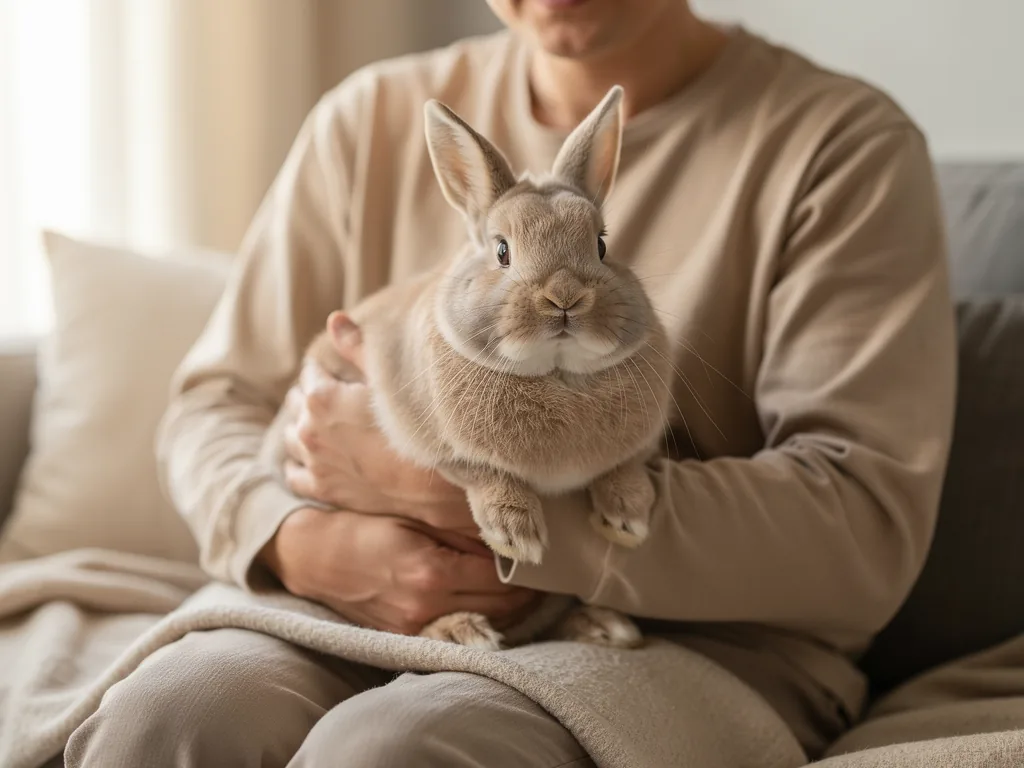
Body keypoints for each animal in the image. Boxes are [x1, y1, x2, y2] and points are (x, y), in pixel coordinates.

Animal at [261, 85, 673, 651]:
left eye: (602, 245)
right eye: (502, 251)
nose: (564, 296)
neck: (558, 376)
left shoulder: (638, 443)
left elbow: (625, 465)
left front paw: (628, 517)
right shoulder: (427, 437)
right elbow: (482, 472)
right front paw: (516, 534)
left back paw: (604, 626)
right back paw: (463, 631)